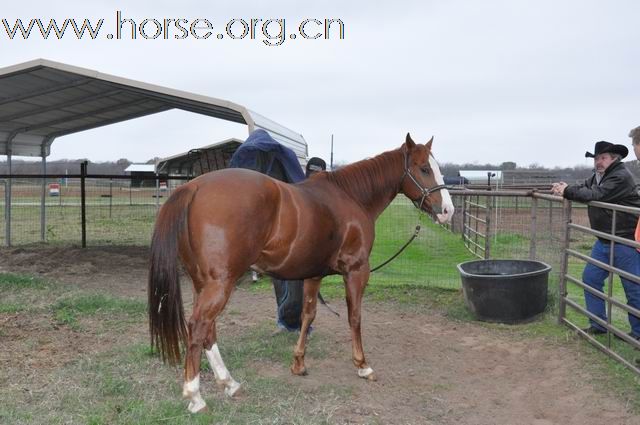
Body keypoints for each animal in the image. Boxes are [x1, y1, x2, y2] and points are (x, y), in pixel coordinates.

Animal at [148, 133, 452, 410]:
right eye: (424, 168)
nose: (447, 210)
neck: (351, 197)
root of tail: (194, 187)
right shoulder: (356, 271)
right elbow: (354, 316)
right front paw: (363, 365)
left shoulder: (313, 274)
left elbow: (308, 315)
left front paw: (299, 363)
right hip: (220, 284)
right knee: (199, 326)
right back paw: (195, 396)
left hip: (203, 283)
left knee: (208, 330)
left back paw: (229, 383)